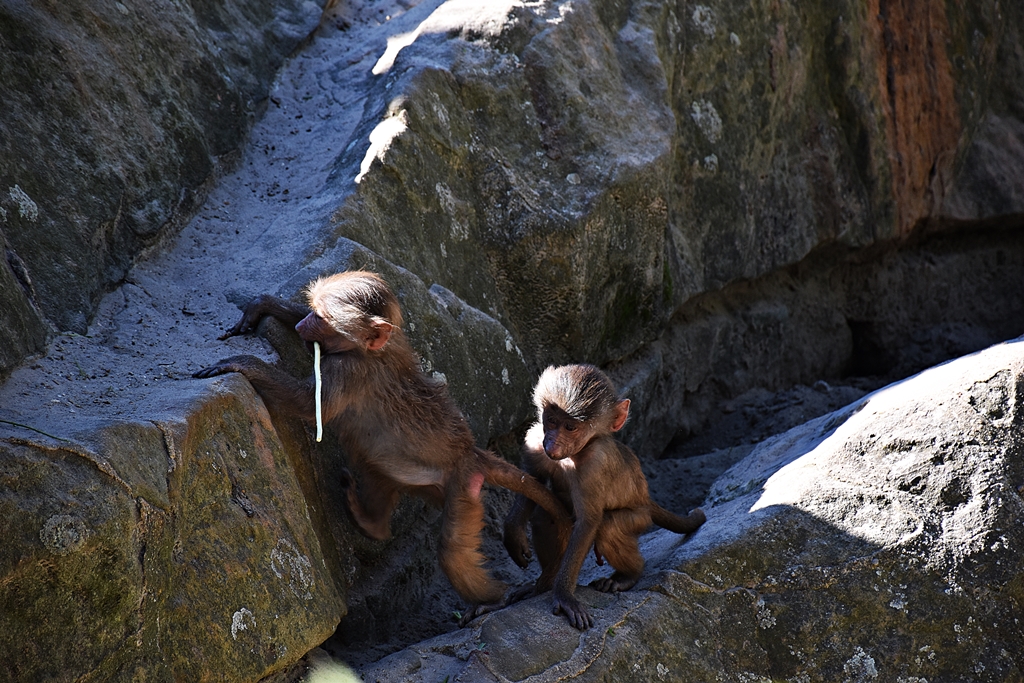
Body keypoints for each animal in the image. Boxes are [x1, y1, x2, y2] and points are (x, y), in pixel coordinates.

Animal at [193, 270, 571, 624]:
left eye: (322, 318)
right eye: (313, 311)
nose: (301, 324)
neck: (368, 350)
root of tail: (469, 453)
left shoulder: (347, 370)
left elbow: (308, 406)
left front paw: (242, 363)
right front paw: (265, 305)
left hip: (463, 487)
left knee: (451, 549)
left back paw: (494, 599)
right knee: (375, 468)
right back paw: (371, 523)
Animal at [502, 363, 706, 630]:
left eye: (571, 428)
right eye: (552, 421)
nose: (552, 444)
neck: (576, 453)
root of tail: (646, 499)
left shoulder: (594, 465)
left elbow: (588, 522)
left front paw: (563, 595)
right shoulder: (536, 440)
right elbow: (531, 484)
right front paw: (513, 532)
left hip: (639, 517)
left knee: (608, 526)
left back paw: (628, 576)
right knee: (545, 516)